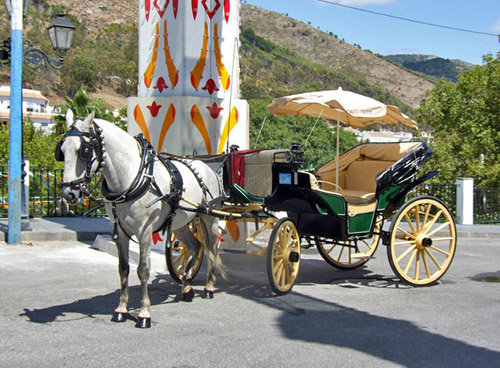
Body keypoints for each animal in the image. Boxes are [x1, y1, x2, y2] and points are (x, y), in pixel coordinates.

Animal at [56, 109, 225, 328]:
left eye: (83, 150)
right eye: (62, 150)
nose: (69, 193)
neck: (132, 176)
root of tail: (205, 166)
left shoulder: (144, 231)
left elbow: (143, 270)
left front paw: (144, 313)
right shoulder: (119, 231)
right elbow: (124, 269)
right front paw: (121, 309)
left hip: (210, 218)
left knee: (212, 248)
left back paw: (209, 288)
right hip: (180, 222)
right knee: (195, 246)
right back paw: (186, 286)